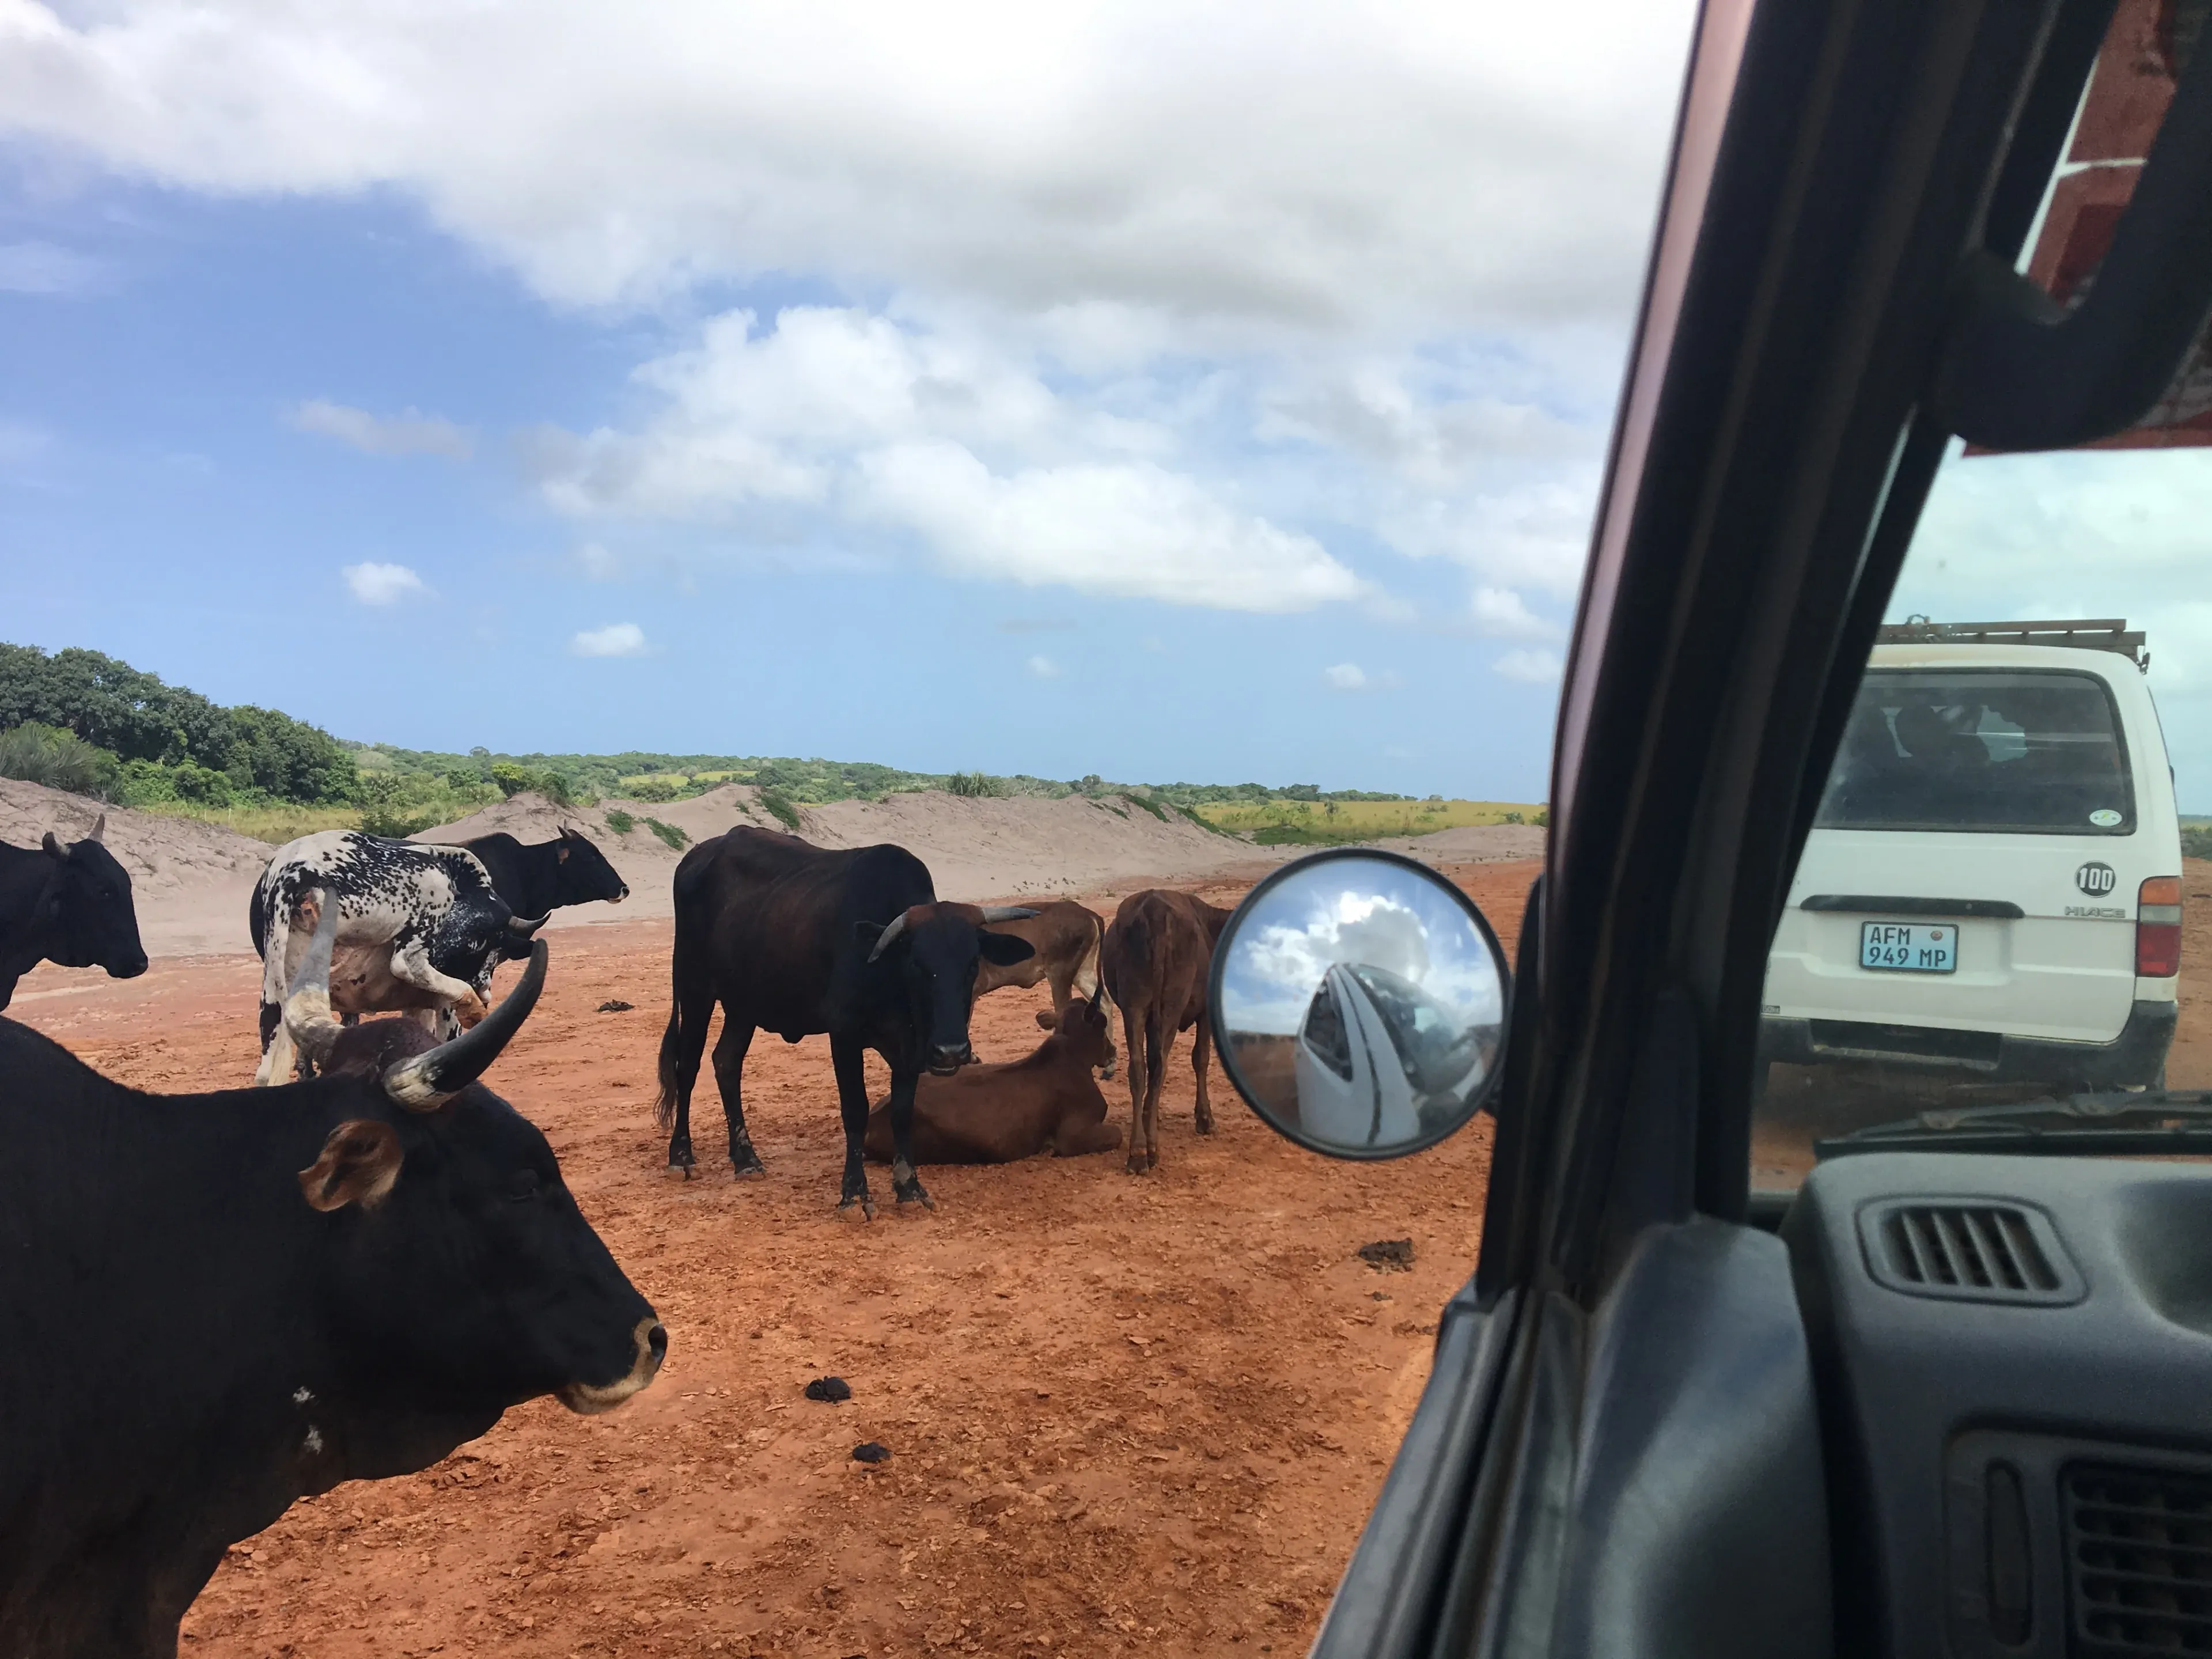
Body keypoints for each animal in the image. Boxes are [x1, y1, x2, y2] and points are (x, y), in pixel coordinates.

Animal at [248, 831, 544, 1092]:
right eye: (481, 943)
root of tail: (294, 872)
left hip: (275, 991)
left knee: (267, 1068)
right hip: (433, 883)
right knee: (405, 963)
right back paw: (469, 1002)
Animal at [654, 831, 1035, 1221]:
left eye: (972, 963)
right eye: (917, 963)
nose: (951, 1052)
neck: (888, 974)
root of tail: (698, 855)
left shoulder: (909, 1047)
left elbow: (903, 1113)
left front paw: (910, 1189)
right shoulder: (844, 1036)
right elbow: (855, 1111)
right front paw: (854, 1194)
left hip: (743, 1006)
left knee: (726, 1063)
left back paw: (745, 1159)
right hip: (695, 990)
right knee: (687, 1067)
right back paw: (681, 1156)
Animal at [1101, 889, 1238, 1176]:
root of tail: (1155, 909)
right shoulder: (1206, 1012)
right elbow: (1201, 1058)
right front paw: (1205, 1118)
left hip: (1135, 1005)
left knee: (1140, 1068)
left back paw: (1138, 1150)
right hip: (1170, 1006)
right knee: (1160, 1066)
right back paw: (1150, 1149)